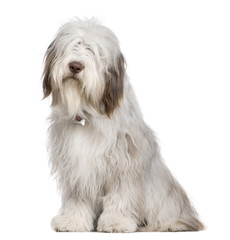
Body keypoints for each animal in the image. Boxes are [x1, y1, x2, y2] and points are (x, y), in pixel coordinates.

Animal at [42, 17, 203, 232]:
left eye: (93, 51)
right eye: (71, 46)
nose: (75, 66)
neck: (88, 114)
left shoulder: (124, 163)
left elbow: (120, 196)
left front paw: (115, 221)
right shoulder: (76, 165)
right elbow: (78, 197)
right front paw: (72, 221)